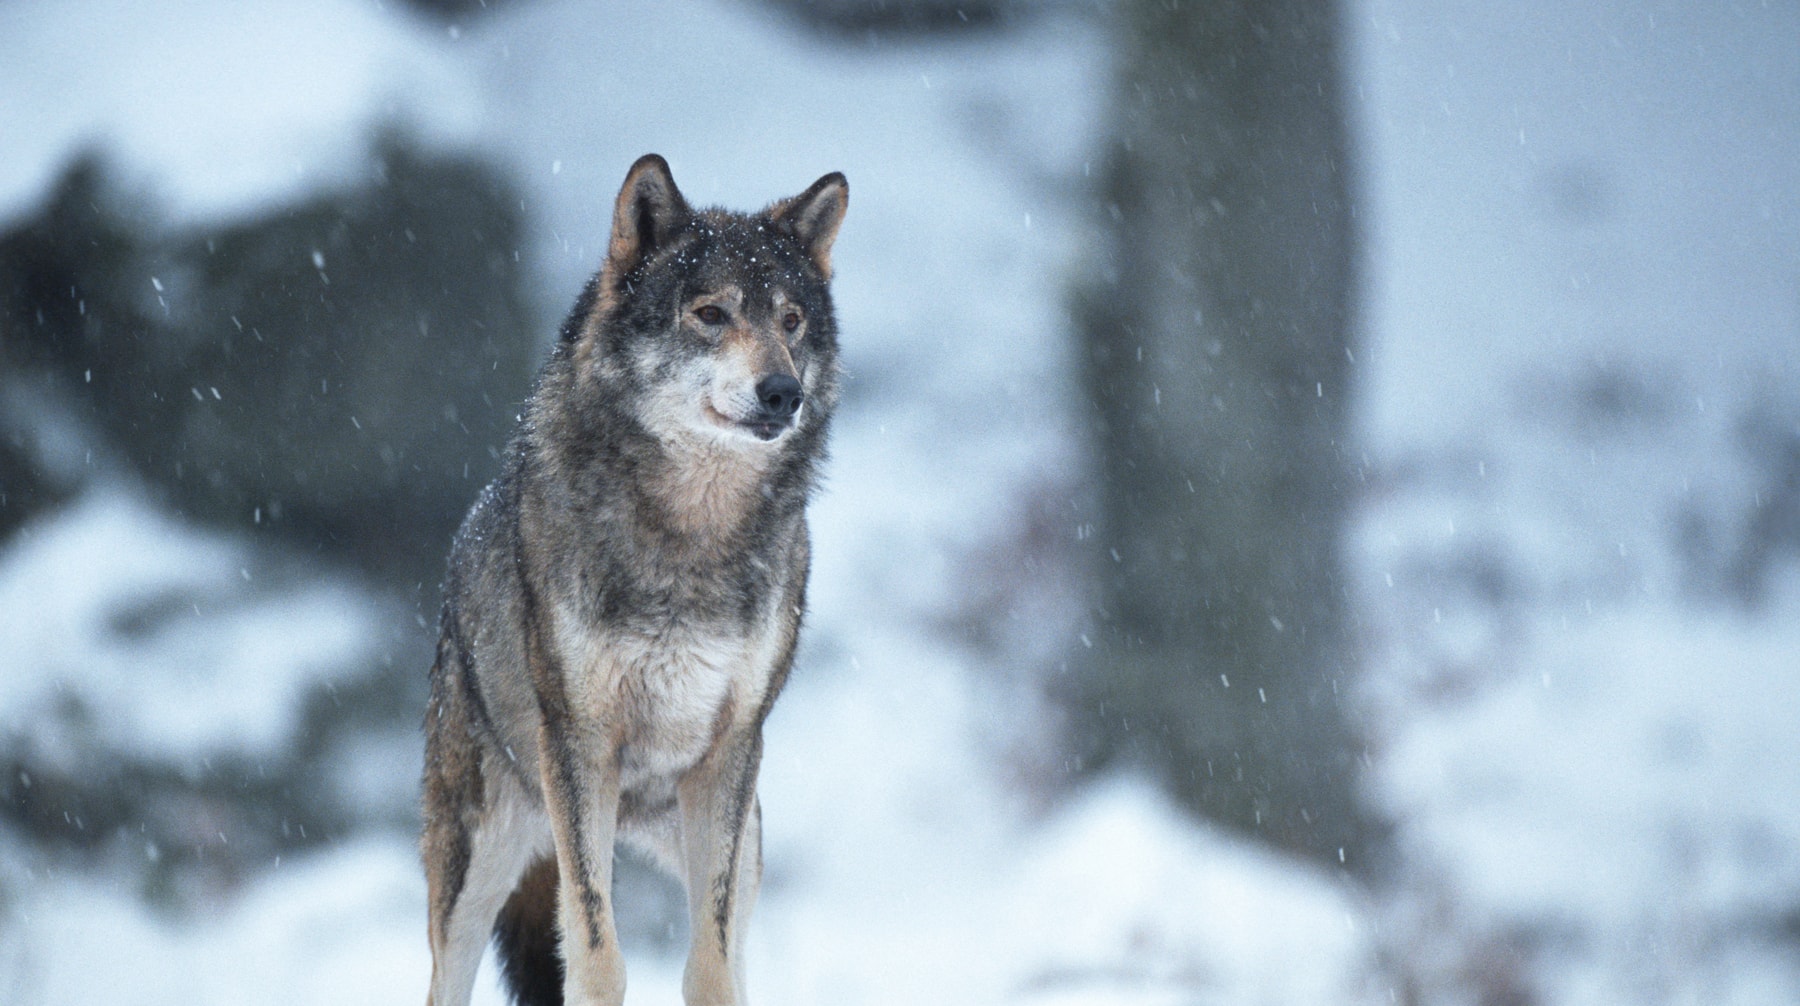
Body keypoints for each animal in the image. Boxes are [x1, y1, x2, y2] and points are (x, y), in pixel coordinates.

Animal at [423, 157, 849, 1006]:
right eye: (711, 314)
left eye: (790, 321)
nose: (782, 392)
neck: (692, 537)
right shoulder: (580, 745)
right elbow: (597, 956)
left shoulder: (730, 755)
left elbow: (710, 967)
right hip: (483, 863)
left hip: (741, 845)